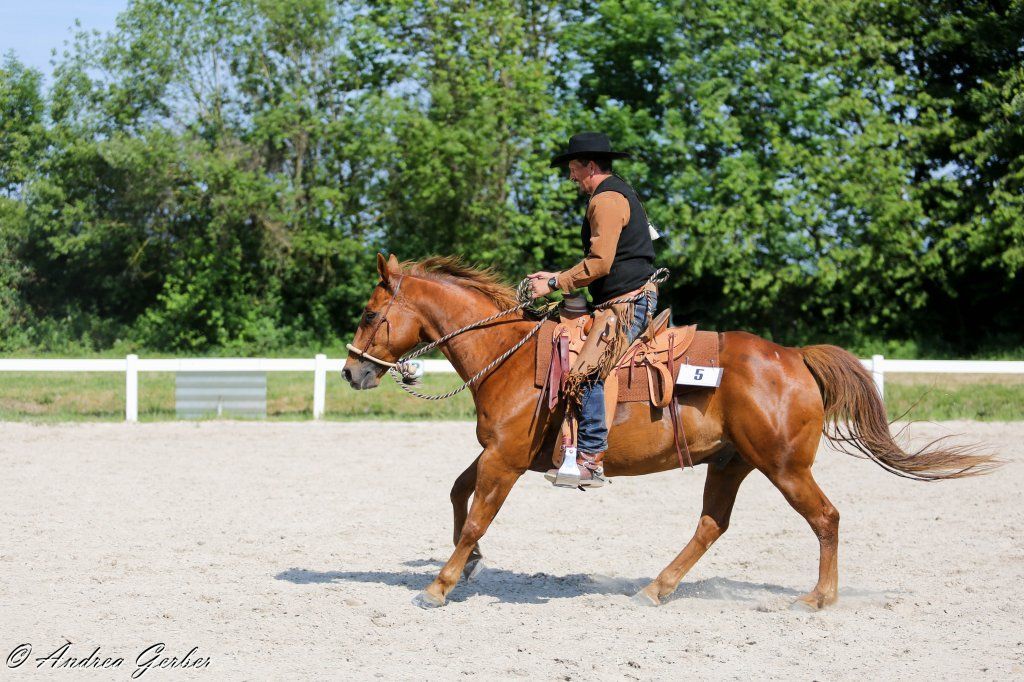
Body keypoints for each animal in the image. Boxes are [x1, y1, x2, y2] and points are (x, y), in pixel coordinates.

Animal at [342, 253, 997, 610]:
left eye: (371, 314)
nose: (351, 371)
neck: (512, 356)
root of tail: (794, 357)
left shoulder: (505, 459)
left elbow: (478, 512)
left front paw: (441, 583)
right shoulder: (500, 454)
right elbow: (459, 495)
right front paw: (471, 562)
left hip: (785, 466)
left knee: (825, 518)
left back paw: (818, 598)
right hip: (731, 462)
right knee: (712, 524)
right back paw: (658, 588)